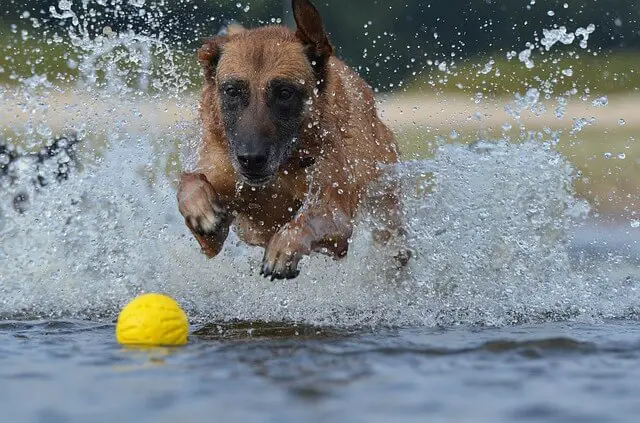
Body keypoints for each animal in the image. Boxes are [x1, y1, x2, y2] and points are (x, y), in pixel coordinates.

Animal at [176, 0, 404, 282]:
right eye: (232, 91)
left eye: (285, 92)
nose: (251, 160)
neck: (282, 172)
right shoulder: (213, 234)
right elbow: (189, 182)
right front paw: (200, 208)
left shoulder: (337, 218)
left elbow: (308, 220)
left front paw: (283, 248)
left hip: (386, 212)